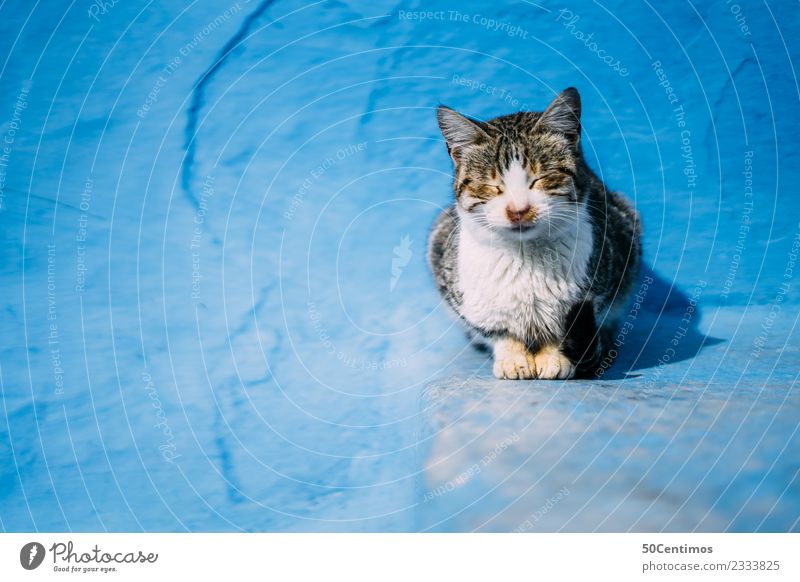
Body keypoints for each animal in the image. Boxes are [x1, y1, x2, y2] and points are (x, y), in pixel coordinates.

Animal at [428, 85, 640, 378]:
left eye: (541, 178)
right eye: (491, 186)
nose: (518, 209)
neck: (525, 257)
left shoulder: (603, 280)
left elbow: (565, 325)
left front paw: (554, 358)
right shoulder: (466, 296)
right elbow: (499, 331)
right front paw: (512, 357)